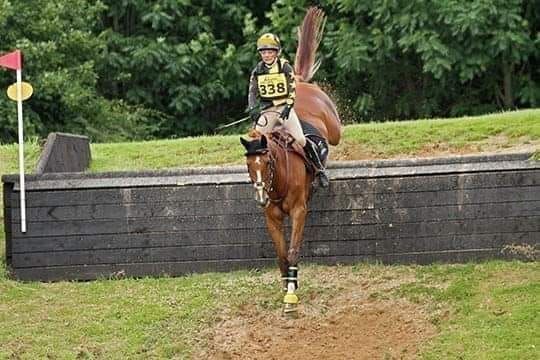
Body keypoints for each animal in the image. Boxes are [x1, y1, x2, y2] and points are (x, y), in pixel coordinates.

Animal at [240, 6, 342, 316]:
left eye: (267, 164)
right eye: (248, 167)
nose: (260, 197)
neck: (280, 178)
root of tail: (299, 80)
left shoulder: (298, 210)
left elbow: (294, 250)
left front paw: (291, 297)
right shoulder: (272, 216)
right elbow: (282, 254)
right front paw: (287, 284)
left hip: (333, 128)